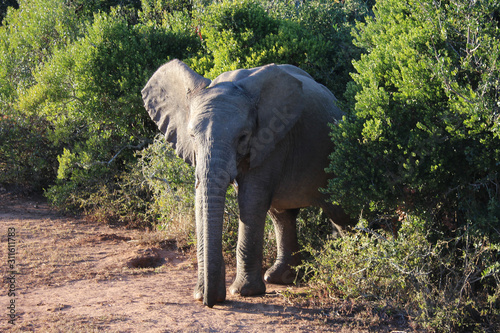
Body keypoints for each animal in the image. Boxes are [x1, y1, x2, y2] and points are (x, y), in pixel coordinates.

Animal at [141, 58, 354, 304]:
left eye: (243, 137)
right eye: (192, 136)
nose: (208, 300)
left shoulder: (272, 138)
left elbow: (251, 199)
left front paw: (243, 292)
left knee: (340, 213)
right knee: (282, 216)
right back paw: (281, 279)